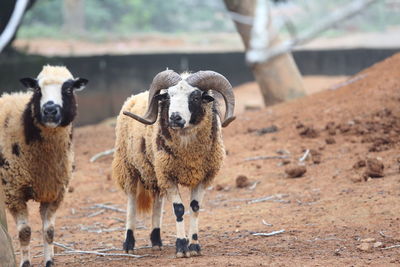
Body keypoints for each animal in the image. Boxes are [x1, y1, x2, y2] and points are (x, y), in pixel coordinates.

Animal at [0, 65, 87, 267]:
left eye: (68, 89)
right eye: (38, 90)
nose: (49, 110)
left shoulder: (54, 192)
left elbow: (49, 231)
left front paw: (49, 261)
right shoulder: (13, 192)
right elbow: (25, 233)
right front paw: (25, 263)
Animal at [111, 70, 234, 258]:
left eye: (195, 97)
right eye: (168, 96)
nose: (175, 117)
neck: (189, 153)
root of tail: (133, 97)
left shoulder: (202, 177)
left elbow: (195, 208)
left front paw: (194, 246)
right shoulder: (169, 176)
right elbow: (179, 210)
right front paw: (181, 247)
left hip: (155, 173)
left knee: (157, 202)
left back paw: (156, 241)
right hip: (128, 167)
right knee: (131, 203)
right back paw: (129, 244)